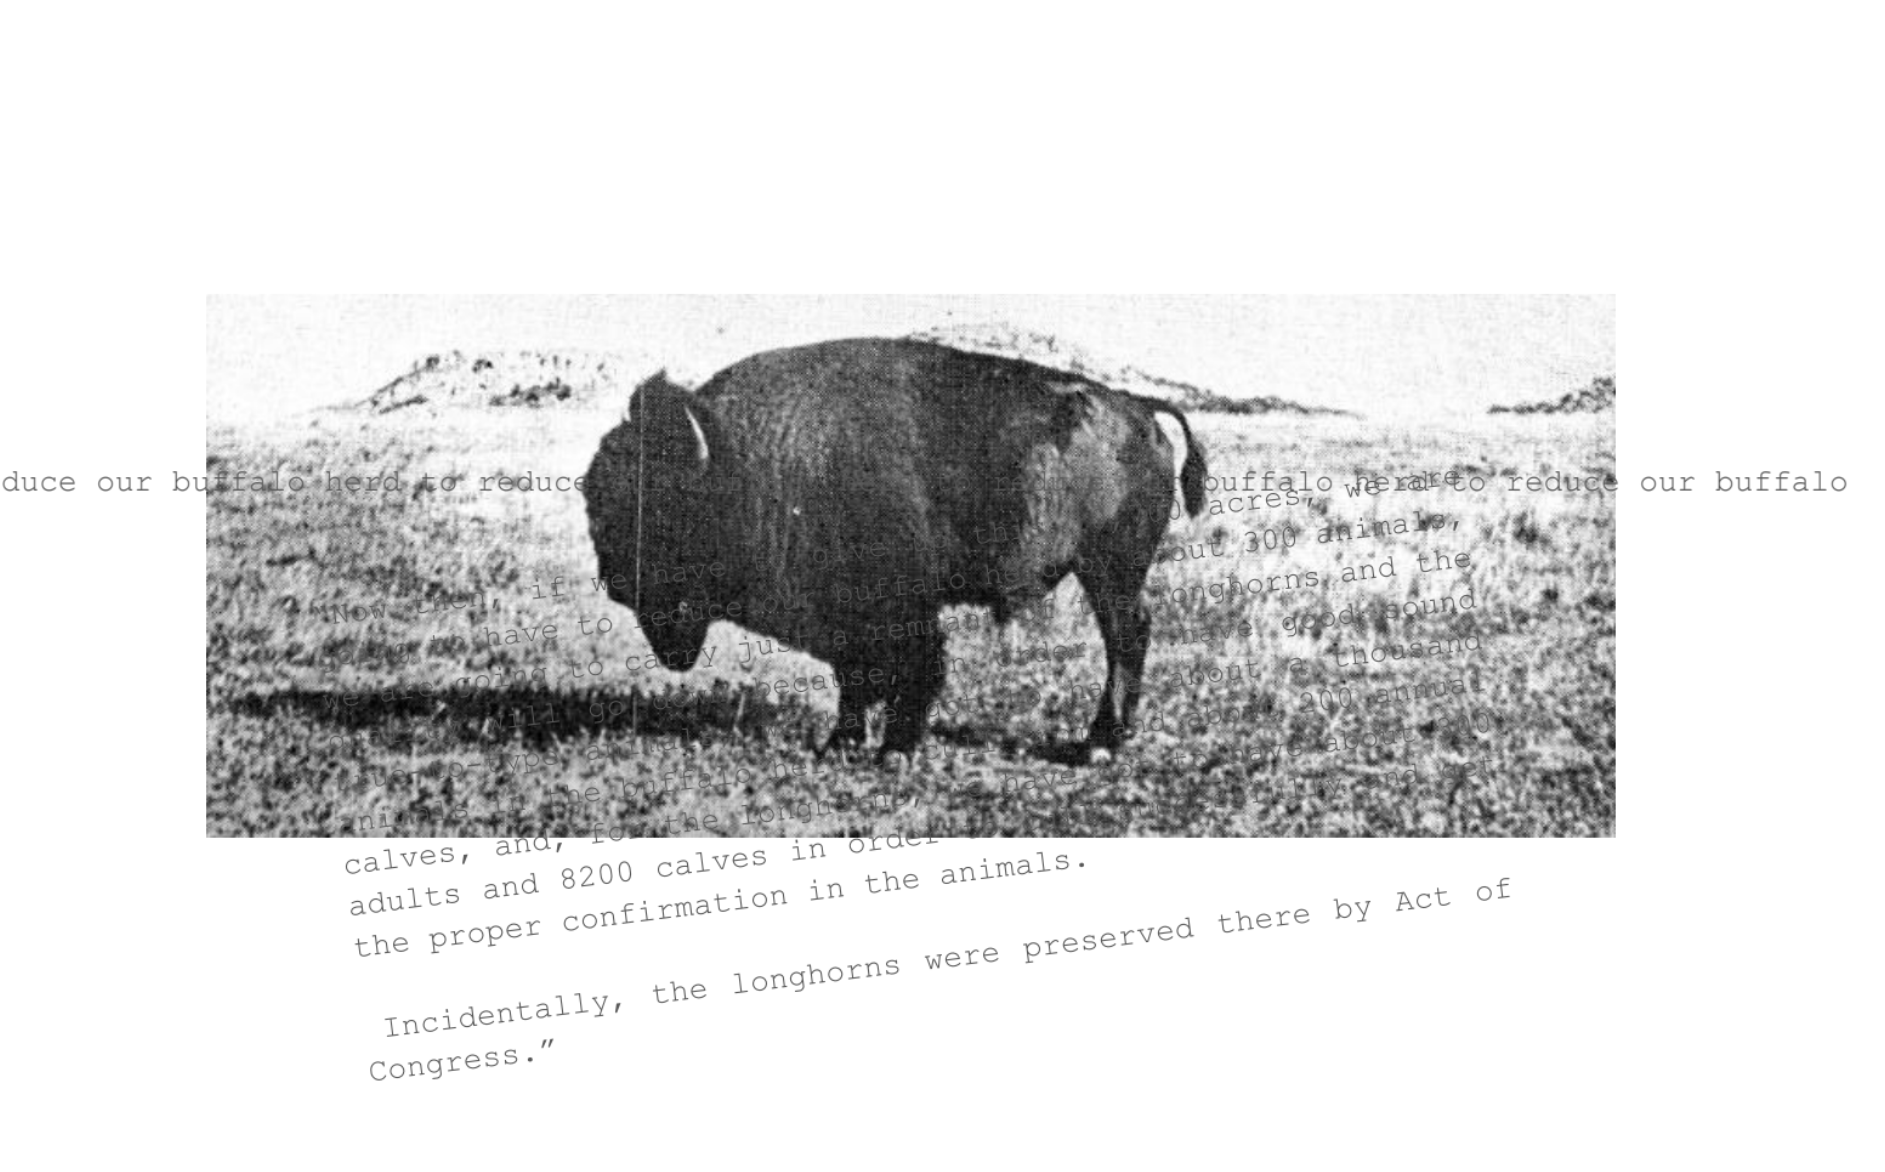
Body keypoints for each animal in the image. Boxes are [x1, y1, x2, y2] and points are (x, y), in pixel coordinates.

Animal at [583, 337, 1205, 762]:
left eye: (652, 501)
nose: (614, 580)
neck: (737, 461)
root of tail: (1138, 408)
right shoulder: (845, 620)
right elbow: (855, 679)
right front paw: (841, 742)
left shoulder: (904, 610)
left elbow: (917, 669)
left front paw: (897, 750)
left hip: (1110, 571)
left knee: (1126, 639)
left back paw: (1098, 744)